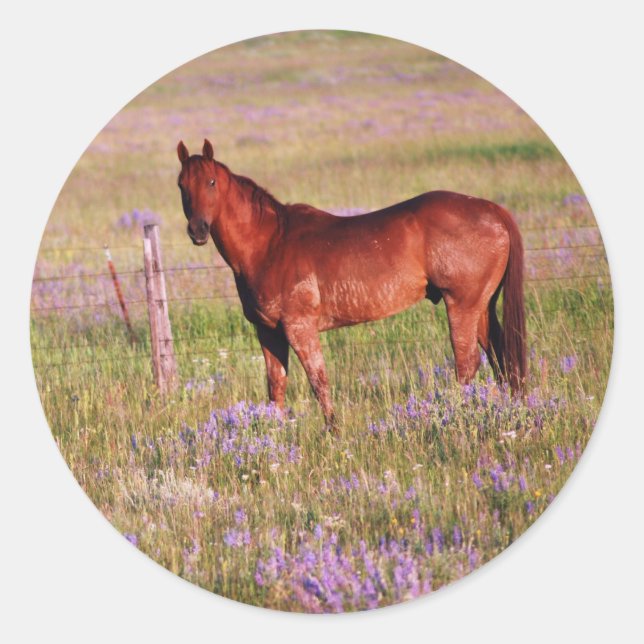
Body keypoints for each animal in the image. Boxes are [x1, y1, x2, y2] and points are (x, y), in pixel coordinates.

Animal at [176, 139, 526, 432]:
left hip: (462, 306)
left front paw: (333, 432)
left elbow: (318, 381)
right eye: (182, 185)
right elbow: (276, 387)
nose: (197, 230)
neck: (270, 243)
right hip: (481, 307)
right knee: (499, 356)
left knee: (467, 364)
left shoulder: (299, 327)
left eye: (211, 182)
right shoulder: (268, 331)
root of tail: (492, 210)